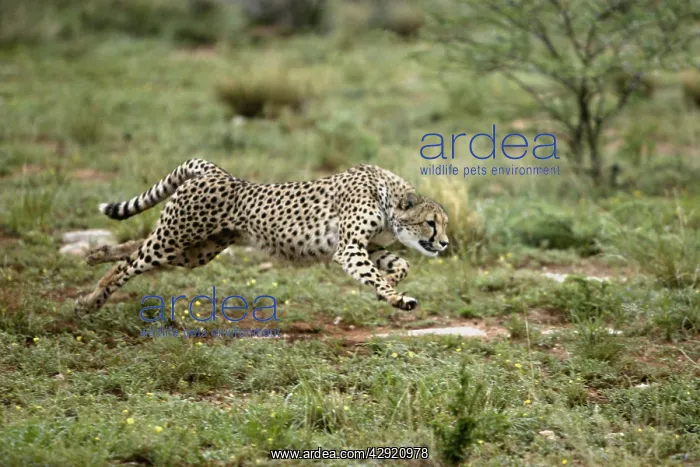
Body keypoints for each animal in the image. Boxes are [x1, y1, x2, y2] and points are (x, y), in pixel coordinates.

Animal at [74, 159, 449, 316]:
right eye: (431, 223)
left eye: (444, 224)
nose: (444, 243)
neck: (388, 197)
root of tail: (216, 171)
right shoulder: (350, 248)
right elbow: (379, 274)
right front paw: (396, 297)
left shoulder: (365, 247)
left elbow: (399, 265)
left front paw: (389, 285)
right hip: (175, 238)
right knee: (129, 265)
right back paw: (90, 300)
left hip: (194, 250)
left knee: (132, 249)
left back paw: (97, 254)